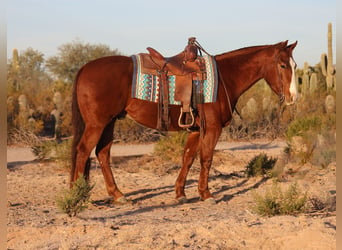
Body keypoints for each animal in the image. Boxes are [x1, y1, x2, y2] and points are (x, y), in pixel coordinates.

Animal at [71, 39, 298, 203]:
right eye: (283, 65)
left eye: (295, 65)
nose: (293, 97)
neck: (225, 77)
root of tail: (83, 68)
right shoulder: (212, 129)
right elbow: (206, 159)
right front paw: (206, 194)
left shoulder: (195, 130)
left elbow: (188, 158)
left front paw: (180, 193)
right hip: (97, 124)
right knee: (83, 151)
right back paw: (76, 196)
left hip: (109, 123)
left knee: (102, 153)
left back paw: (117, 195)